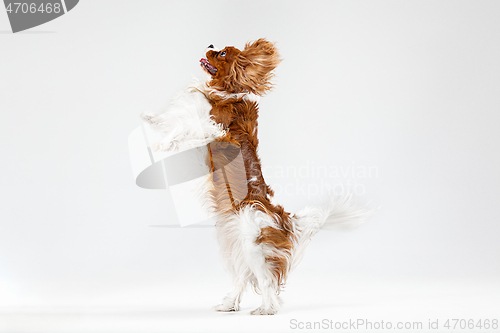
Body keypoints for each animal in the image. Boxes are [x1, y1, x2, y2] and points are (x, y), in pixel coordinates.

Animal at [141, 39, 372, 314]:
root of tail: (281, 218)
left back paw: (266, 309)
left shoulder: (213, 128)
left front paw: (164, 142)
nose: (210, 44)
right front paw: (150, 118)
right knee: (242, 278)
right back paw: (229, 304)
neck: (225, 93)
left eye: (221, 53)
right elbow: (173, 118)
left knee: (265, 280)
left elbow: (184, 125)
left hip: (255, 245)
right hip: (236, 243)